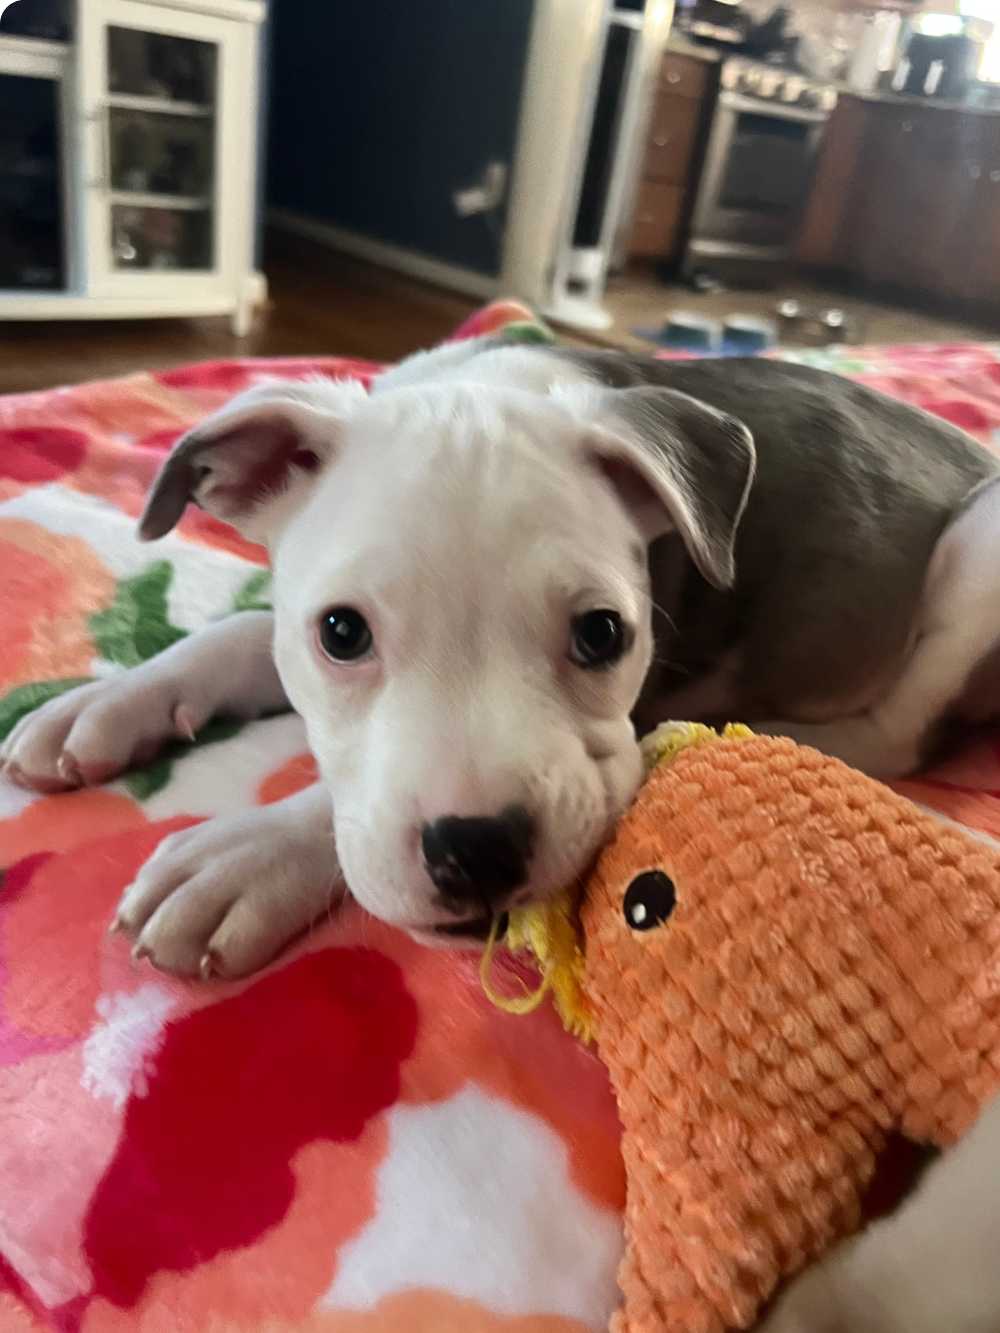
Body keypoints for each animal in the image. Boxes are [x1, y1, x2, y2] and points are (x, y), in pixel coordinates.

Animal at [5, 337, 1000, 1330]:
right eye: (341, 631)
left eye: (603, 633)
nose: (477, 849)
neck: (482, 390)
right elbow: (250, 633)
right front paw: (105, 704)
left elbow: (329, 798)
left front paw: (243, 856)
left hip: (977, 551)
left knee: (900, 731)